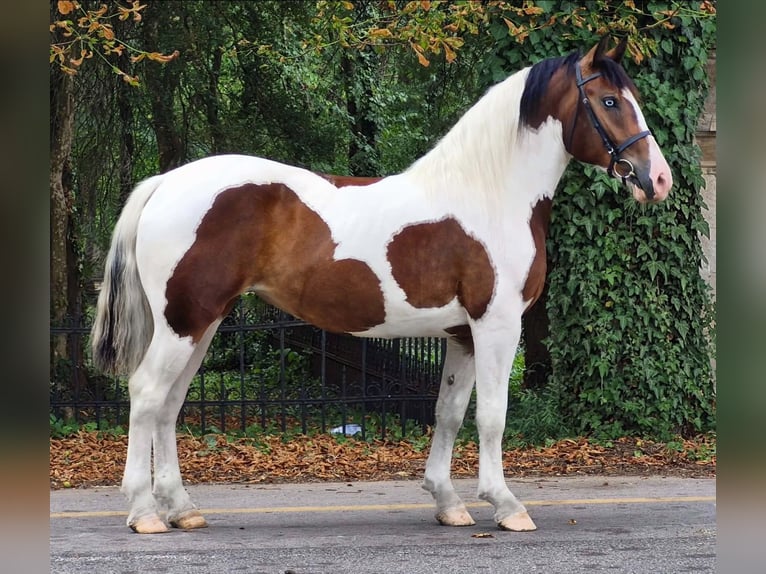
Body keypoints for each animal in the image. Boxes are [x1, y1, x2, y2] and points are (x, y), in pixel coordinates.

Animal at [91, 36, 672, 534]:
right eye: (610, 100)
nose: (659, 179)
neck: (488, 194)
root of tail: (165, 182)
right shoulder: (497, 326)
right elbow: (492, 416)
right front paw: (506, 505)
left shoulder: (462, 335)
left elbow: (448, 413)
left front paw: (448, 502)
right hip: (183, 324)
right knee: (147, 394)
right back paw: (144, 512)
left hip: (201, 323)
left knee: (169, 404)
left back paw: (182, 508)